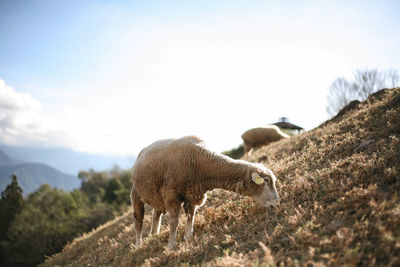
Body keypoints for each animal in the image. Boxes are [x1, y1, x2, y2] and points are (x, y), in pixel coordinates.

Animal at [130, 136, 280, 249]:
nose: (276, 204)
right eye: (266, 180)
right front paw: (171, 245)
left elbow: (191, 216)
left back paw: (154, 235)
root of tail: (142, 152)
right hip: (136, 194)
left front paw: (188, 237)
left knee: (156, 214)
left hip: (157, 195)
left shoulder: (192, 194)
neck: (200, 163)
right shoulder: (171, 194)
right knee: (138, 220)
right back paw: (138, 244)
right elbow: (174, 221)